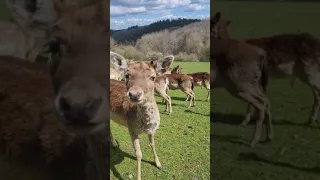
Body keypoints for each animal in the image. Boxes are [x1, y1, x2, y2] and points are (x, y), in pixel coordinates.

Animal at [110, 51, 175, 180]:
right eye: (127, 75)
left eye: (153, 77)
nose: (134, 94)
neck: (145, 125)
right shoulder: (131, 127)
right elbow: (138, 153)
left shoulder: (152, 129)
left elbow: (152, 144)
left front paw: (159, 164)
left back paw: (114, 144)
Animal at [211, 11, 272, 148]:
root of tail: (262, 54)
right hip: (252, 84)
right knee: (266, 100)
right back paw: (268, 137)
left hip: (238, 86)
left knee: (261, 104)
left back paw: (253, 142)